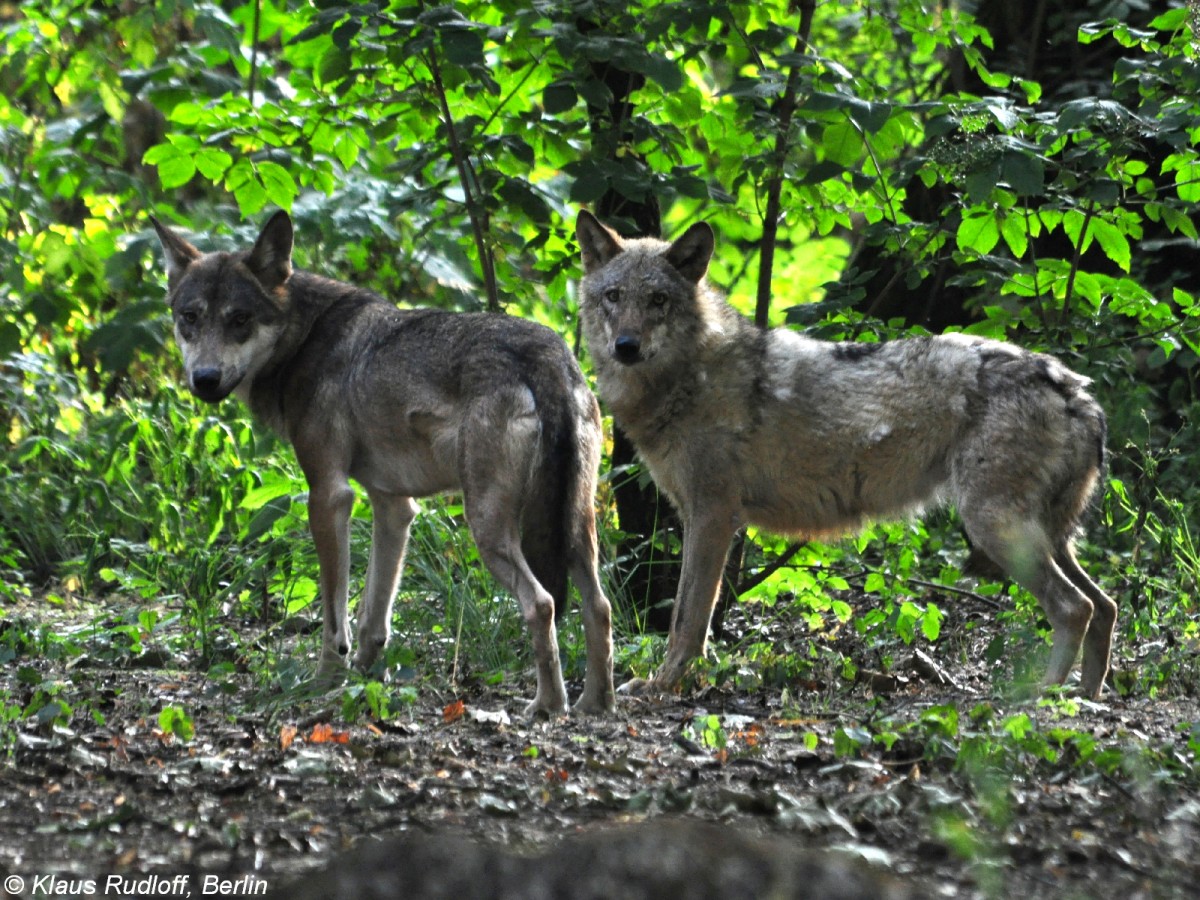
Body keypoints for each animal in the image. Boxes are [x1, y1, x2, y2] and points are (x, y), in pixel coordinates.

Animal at [152, 211, 619, 720]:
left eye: (239, 320)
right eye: (189, 318)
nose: (204, 379)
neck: (304, 338)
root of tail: (548, 354)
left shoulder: (329, 496)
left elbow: (334, 618)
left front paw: (324, 683)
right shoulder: (394, 505)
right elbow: (373, 614)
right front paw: (366, 676)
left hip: (488, 527)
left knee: (542, 603)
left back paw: (548, 705)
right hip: (575, 525)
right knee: (599, 607)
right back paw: (595, 703)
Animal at [571, 211, 1113, 705]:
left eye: (658, 301)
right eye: (613, 296)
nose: (626, 346)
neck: (686, 379)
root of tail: (1077, 391)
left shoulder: (713, 517)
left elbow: (687, 619)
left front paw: (662, 686)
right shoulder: (698, 515)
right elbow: (689, 615)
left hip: (995, 528)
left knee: (1076, 607)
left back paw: (1046, 694)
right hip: (1042, 535)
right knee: (1104, 605)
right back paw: (1090, 694)